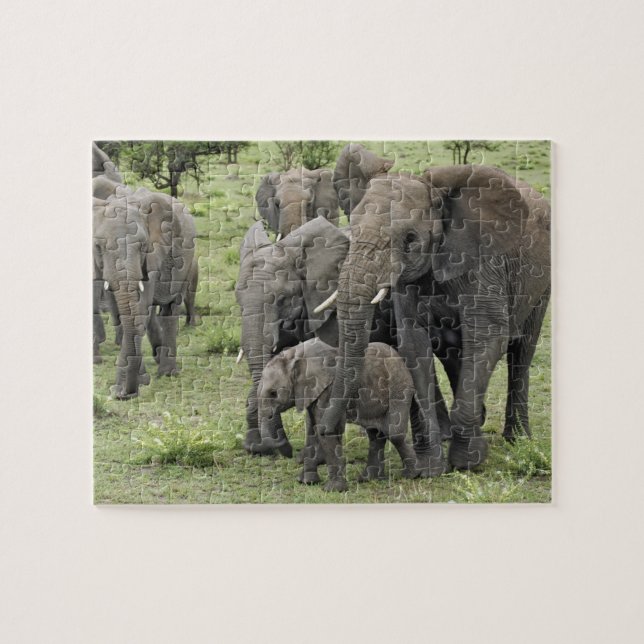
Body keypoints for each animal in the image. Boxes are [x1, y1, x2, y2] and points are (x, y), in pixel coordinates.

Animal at [93, 185, 196, 399]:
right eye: (98, 246)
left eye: (142, 246)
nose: (124, 394)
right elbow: (122, 314)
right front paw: (138, 382)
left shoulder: (153, 256)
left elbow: (139, 312)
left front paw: (123, 388)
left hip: (187, 262)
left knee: (171, 310)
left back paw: (167, 372)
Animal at [258, 338, 418, 490]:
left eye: (273, 393)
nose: (290, 455)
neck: (295, 355)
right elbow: (311, 428)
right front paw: (306, 482)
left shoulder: (330, 391)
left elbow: (326, 431)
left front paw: (333, 489)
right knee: (375, 434)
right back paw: (368, 479)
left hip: (400, 388)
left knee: (394, 433)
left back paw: (412, 475)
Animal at [314, 150, 551, 488]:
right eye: (353, 230)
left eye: (410, 239)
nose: (326, 428)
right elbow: (414, 347)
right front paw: (430, 468)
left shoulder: (484, 264)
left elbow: (488, 337)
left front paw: (468, 462)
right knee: (453, 354)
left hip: (540, 282)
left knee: (522, 351)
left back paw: (517, 438)